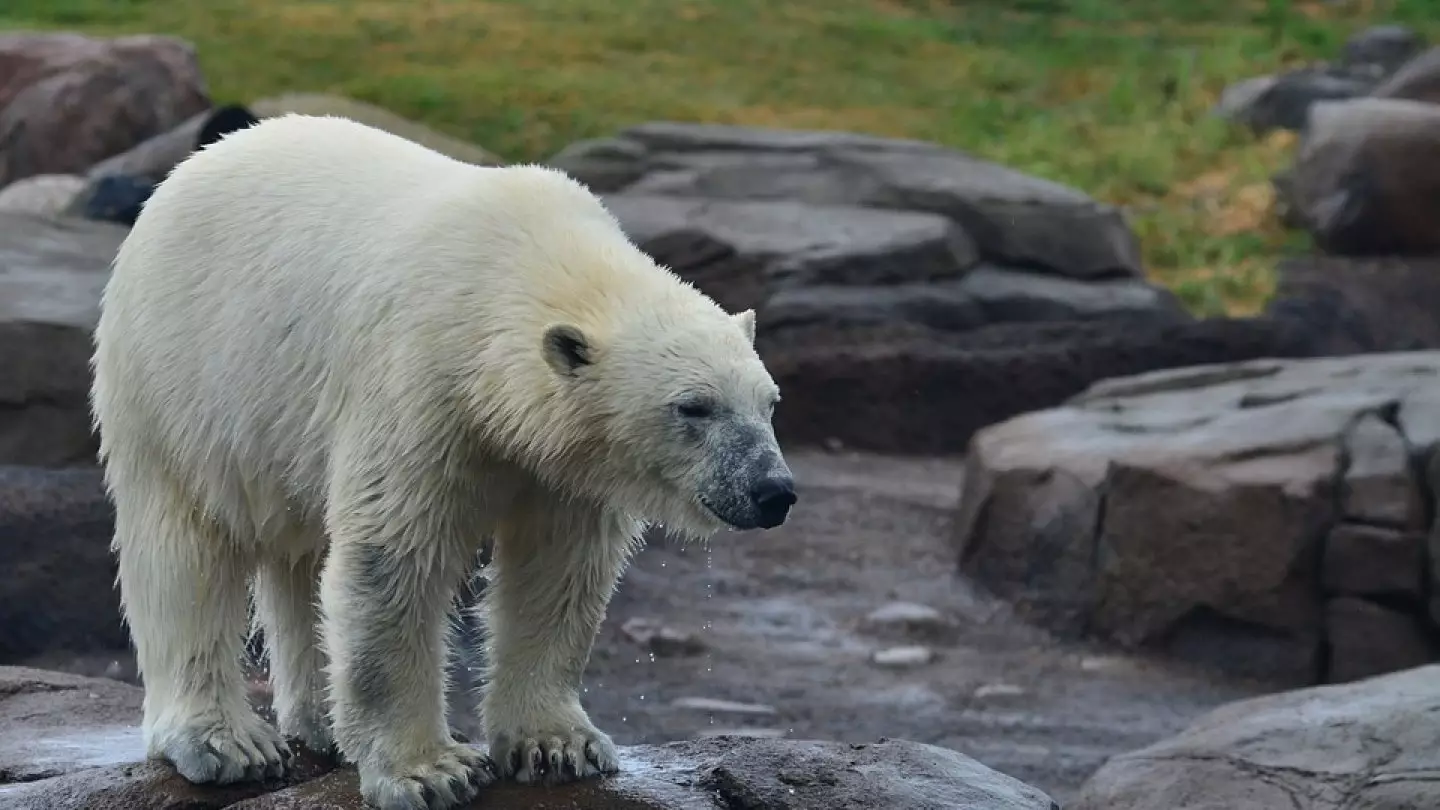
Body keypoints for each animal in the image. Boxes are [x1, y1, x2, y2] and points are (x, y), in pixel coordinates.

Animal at [90, 111, 800, 807]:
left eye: (769, 403)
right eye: (694, 407)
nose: (773, 491)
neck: (513, 266)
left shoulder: (563, 464)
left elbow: (559, 571)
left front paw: (557, 745)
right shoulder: (419, 383)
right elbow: (393, 559)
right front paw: (428, 772)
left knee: (300, 557)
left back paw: (319, 725)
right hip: (180, 380)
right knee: (183, 548)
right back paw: (226, 742)